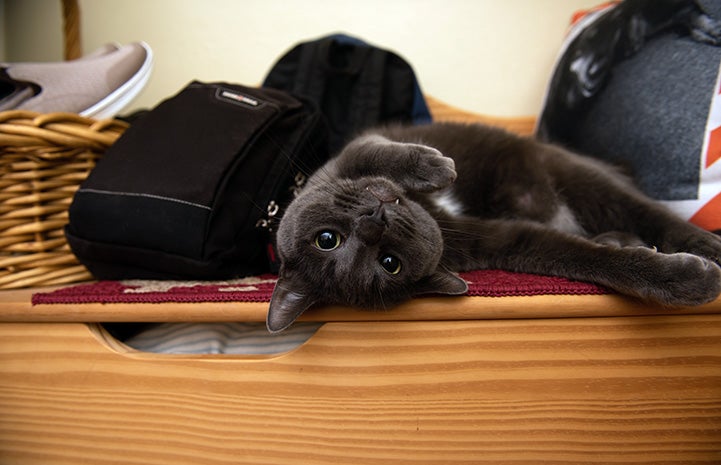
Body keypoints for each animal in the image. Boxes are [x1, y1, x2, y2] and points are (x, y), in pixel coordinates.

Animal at [268, 121, 720, 332]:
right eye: (388, 263)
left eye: (327, 239)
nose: (373, 222)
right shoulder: (496, 241)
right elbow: (579, 256)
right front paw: (683, 279)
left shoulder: (347, 157)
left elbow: (375, 152)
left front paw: (434, 167)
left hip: (575, 174)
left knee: (649, 212)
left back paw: (706, 245)